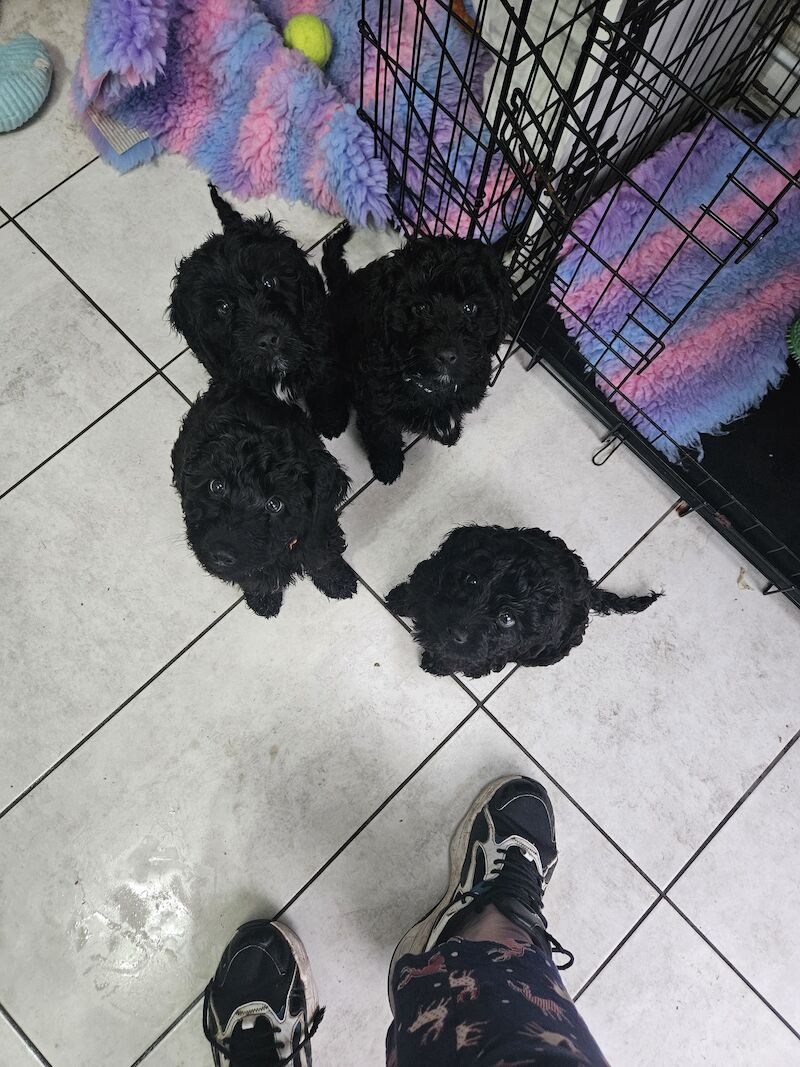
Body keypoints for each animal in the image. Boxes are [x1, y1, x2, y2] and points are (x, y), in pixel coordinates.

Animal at [169, 184, 347, 437]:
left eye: (269, 282)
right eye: (223, 307)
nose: (268, 340)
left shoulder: (319, 346)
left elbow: (324, 386)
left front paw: (331, 422)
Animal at [173, 384, 358, 618]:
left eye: (275, 504)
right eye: (217, 486)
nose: (221, 555)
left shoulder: (320, 526)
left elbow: (323, 557)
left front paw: (338, 581)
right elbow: (255, 578)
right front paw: (263, 599)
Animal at [324, 225, 516, 484]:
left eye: (470, 308)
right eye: (421, 307)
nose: (446, 356)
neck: (429, 383)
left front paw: (450, 432)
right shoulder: (376, 403)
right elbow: (384, 434)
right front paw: (388, 466)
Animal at [386, 524, 657, 674]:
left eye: (506, 619)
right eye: (471, 580)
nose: (456, 633)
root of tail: (589, 588)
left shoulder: (484, 655)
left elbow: (459, 659)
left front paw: (436, 664)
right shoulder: (431, 574)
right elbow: (417, 589)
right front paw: (398, 600)